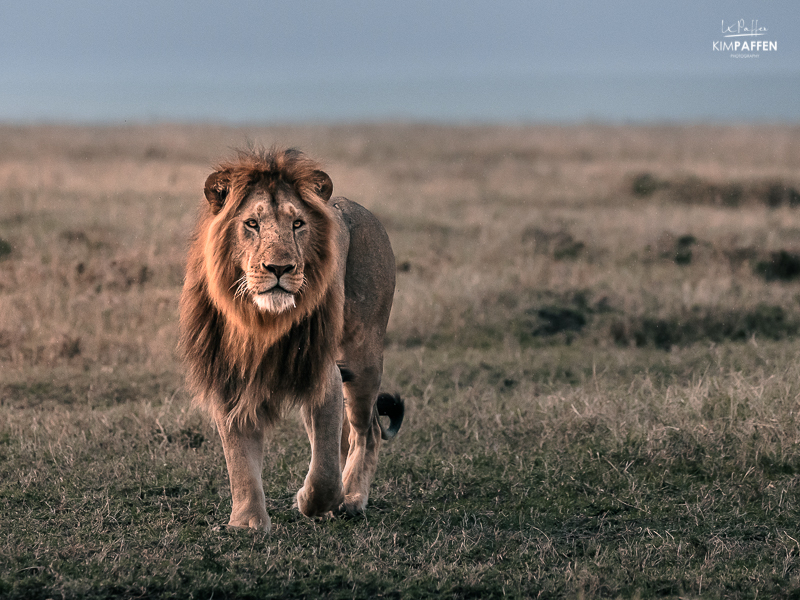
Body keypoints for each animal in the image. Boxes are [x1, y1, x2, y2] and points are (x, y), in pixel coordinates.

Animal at [182, 148, 406, 532]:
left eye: (298, 224)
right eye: (251, 224)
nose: (279, 268)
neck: (264, 322)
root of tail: (354, 206)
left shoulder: (324, 375)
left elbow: (325, 471)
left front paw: (311, 501)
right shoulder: (230, 375)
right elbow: (239, 460)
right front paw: (247, 523)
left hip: (363, 358)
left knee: (366, 432)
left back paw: (352, 498)